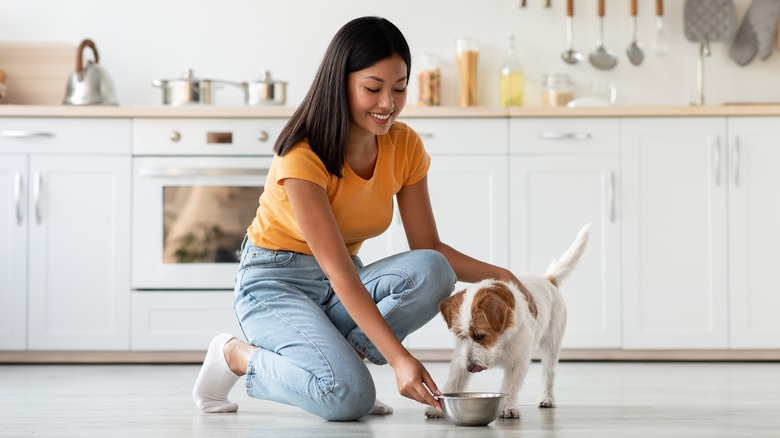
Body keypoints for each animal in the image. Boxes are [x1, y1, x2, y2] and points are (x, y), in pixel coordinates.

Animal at [426, 224, 592, 420]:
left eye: (480, 335)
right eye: (461, 335)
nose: (470, 367)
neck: (500, 342)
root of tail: (547, 279)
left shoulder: (518, 362)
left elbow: (510, 385)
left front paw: (507, 407)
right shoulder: (461, 358)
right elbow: (454, 381)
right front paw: (438, 407)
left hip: (552, 344)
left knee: (549, 373)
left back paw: (547, 398)